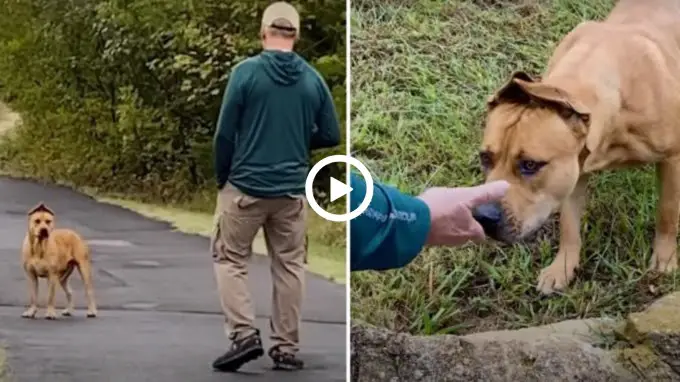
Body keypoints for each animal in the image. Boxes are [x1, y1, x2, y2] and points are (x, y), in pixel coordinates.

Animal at [476, 0, 680, 296]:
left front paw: (665, 259)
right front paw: (562, 268)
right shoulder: (573, 170)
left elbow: (667, 211)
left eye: (530, 165)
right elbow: (569, 226)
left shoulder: (672, 160)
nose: (482, 216)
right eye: (485, 158)